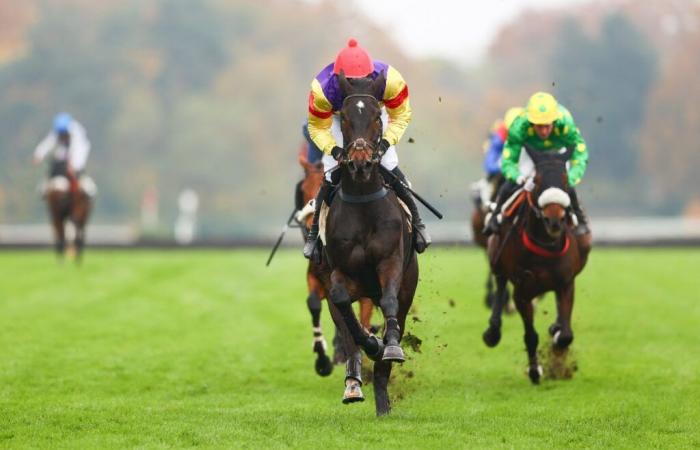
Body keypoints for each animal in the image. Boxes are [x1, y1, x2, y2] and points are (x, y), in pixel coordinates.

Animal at [322, 72, 416, 416]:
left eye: (377, 116)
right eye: (347, 118)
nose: (360, 163)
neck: (363, 199)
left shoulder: (390, 262)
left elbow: (389, 303)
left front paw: (389, 348)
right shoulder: (337, 272)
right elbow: (345, 313)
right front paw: (371, 344)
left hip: (407, 287)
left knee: (395, 316)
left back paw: (383, 394)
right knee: (347, 325)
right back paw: (354, 384)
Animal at [482, 147, 592, 384]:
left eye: (565, 180)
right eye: (538, 180)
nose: (554, 220)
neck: (546, 245)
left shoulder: (566, 283)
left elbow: (566, 335)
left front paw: (557, 339)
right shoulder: (522, 292)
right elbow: (531, 335)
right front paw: (535, 371)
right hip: (498, 259)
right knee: (500, 283)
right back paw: (493, 332)